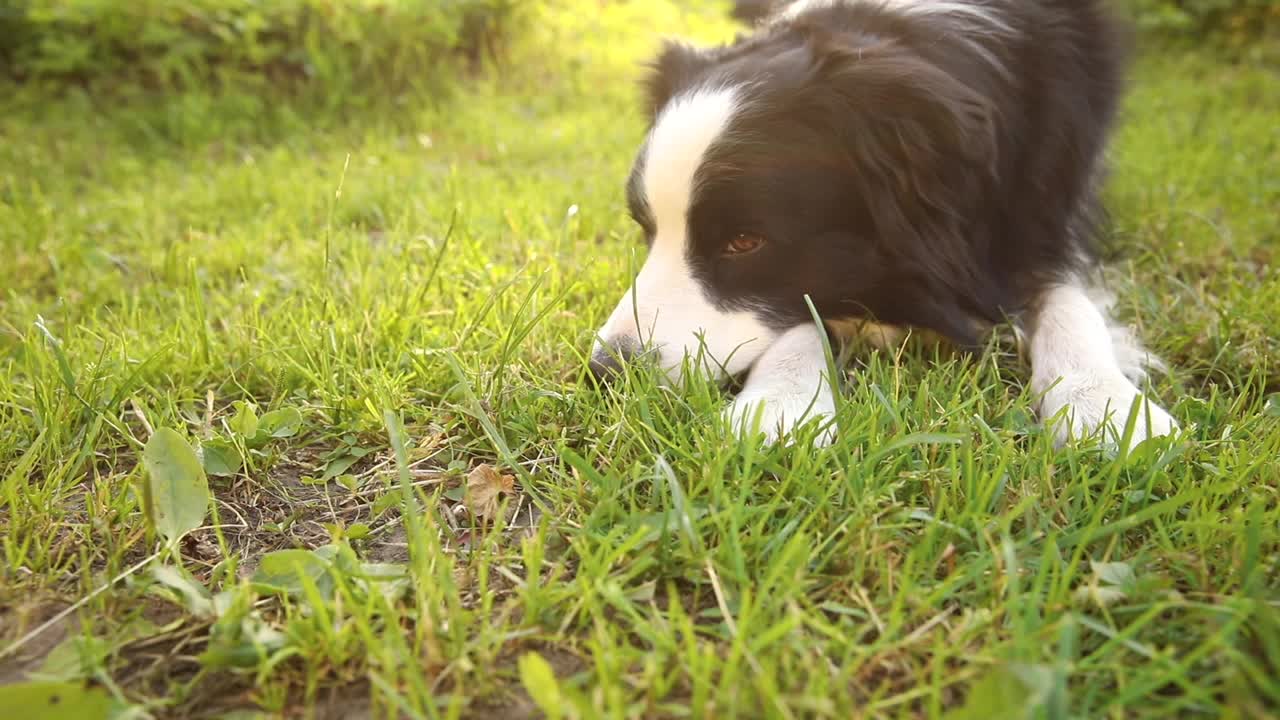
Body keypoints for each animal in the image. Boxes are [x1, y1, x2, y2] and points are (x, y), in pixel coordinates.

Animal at [588, 0, 1177, 445]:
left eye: (744, 241)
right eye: (645, 229)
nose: (607, 372)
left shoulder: (1051, 205)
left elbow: (1066, 295)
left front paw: (1107, 405)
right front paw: (779, 404)